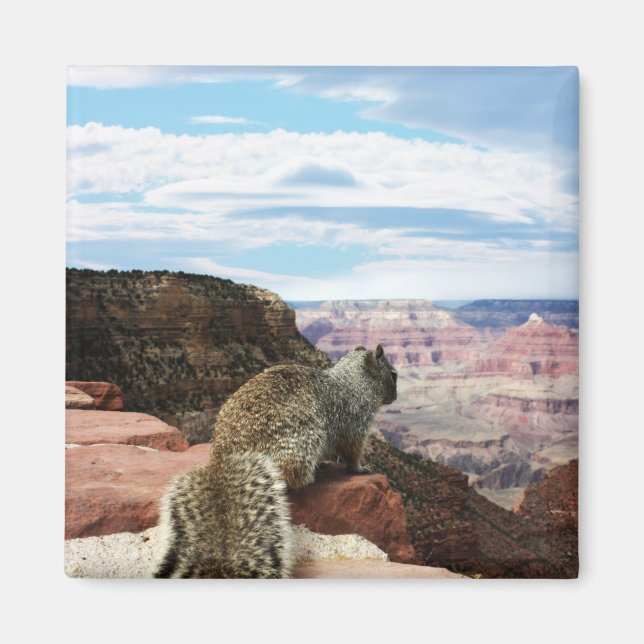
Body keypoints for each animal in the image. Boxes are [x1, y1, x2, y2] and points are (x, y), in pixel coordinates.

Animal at [153, 344, 398, 578]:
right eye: (394, 374)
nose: (395, 396)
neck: (353, 380)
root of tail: (224, 457)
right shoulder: (358, 423)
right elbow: (353, 452)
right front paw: (361, 468)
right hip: (303, 442)